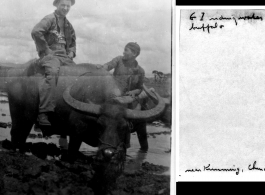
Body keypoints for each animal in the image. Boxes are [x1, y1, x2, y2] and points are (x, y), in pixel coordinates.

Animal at [0, 59, 165, 175]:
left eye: (124, 127)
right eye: (100, 125)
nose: (108, 153)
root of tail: (14, 76)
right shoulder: (76, 133)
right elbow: (72, 151)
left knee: (22, 136)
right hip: (20, 115)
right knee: (16, 134)